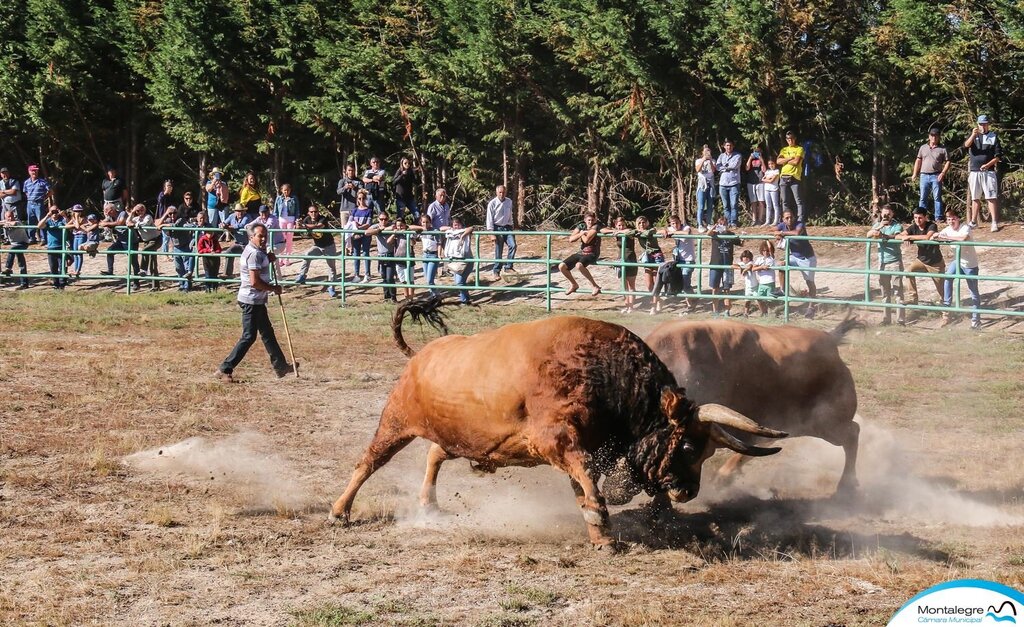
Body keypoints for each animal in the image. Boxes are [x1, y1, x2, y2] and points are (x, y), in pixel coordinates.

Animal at [331, 299, 786, 549]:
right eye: (690, 446)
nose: (688, 491)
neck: (603, 372)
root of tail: (420, 355)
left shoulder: (584, 450)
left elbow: (584, 487)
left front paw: (600, 533)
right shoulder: (558, 442)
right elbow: (588, 485)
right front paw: (601, 526)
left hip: (458, 435)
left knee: (435, 453)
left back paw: (428, 504)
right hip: (396, 422)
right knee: (368, 463)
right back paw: (340, 511)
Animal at [643, 315, 860, 497]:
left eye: (689, 449)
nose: (686, 492)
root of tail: (829, 339)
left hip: (825, 421)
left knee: (852, 433)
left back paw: (847, 486)